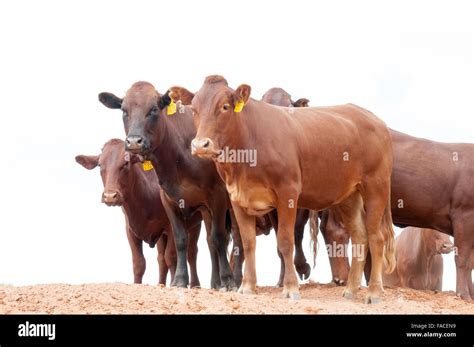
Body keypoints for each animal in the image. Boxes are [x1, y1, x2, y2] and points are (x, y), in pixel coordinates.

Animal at [74, 139, 200, 288]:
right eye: (100, 165)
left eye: (125, 164)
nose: (110, 196)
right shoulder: (131, 229)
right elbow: (139, 263)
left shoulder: (171, 226)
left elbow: (171, 256)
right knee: (161, 258)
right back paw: (160, 284)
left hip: (195, 223)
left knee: (191, 253)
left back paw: (195, 284)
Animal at [99, 81, 239, 290]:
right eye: (124, 110)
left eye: (154, 109)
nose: (134, 142)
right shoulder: (170, 200)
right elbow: (181, 240)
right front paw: (180, 280)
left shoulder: (218, 196)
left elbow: (220, 237)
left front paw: (228, 281)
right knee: (209, 242)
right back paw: (215, 281)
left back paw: (238, 279)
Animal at [185, 75, 396, 304]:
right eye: (194, 109)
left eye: (224, 106)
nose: (200, 145)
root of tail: (375, 120)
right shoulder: (237, 199)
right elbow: (248, 242)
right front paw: (247, 286)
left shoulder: (287, 193)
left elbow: (285, 241)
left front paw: (290, 288)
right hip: (349, 195)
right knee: (360, 236)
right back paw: (351, 290)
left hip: (376, 186)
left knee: (376, 238)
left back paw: (373, 292)